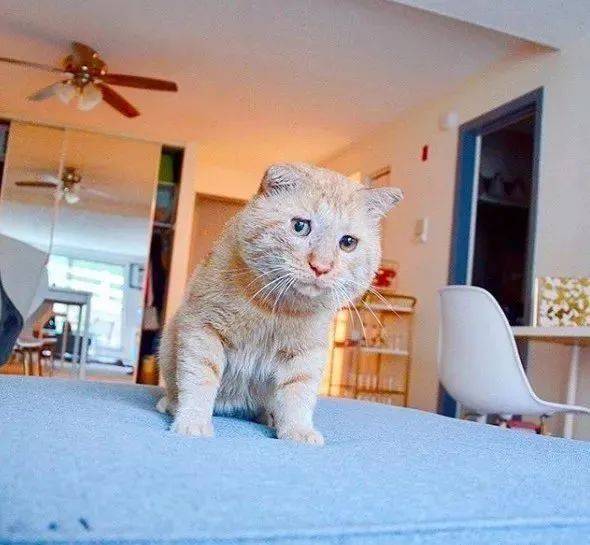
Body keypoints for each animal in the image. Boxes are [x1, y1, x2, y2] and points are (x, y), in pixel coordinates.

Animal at [157, 163, 402, 445]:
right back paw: (170, 404)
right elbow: (200, 379)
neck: (276, 306)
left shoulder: (306, 353)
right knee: (174, 389)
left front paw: (298, 430)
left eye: (348, 242)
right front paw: (193, 421)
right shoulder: (203, 329)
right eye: (300, 226)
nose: (321, 267)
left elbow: (297, 394)